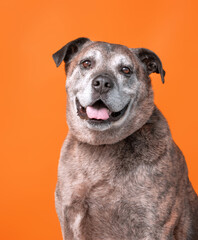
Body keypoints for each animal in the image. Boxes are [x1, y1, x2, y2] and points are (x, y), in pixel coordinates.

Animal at [52, 38, 198, 239]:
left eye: (126, 70)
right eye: (86, 63)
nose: (102, 83)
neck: (102, 145)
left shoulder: (153, 226)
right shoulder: (70, 220)